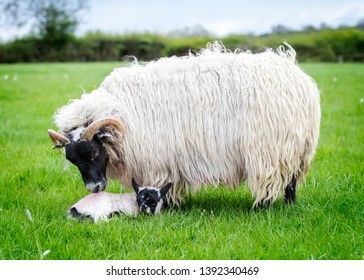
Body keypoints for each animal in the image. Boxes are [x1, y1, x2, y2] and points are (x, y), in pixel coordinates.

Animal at [47, 41, 318, 209]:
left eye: (94, 152)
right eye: (72, 159)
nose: (94, 188)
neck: (123, 113)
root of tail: (298, 76)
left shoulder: (157, 159)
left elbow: (161, 186)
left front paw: (165, 207)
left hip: (272, 149)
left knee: (278, 180)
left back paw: (265, 207)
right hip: (294, 147)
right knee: (291, 181)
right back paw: (287, 206)